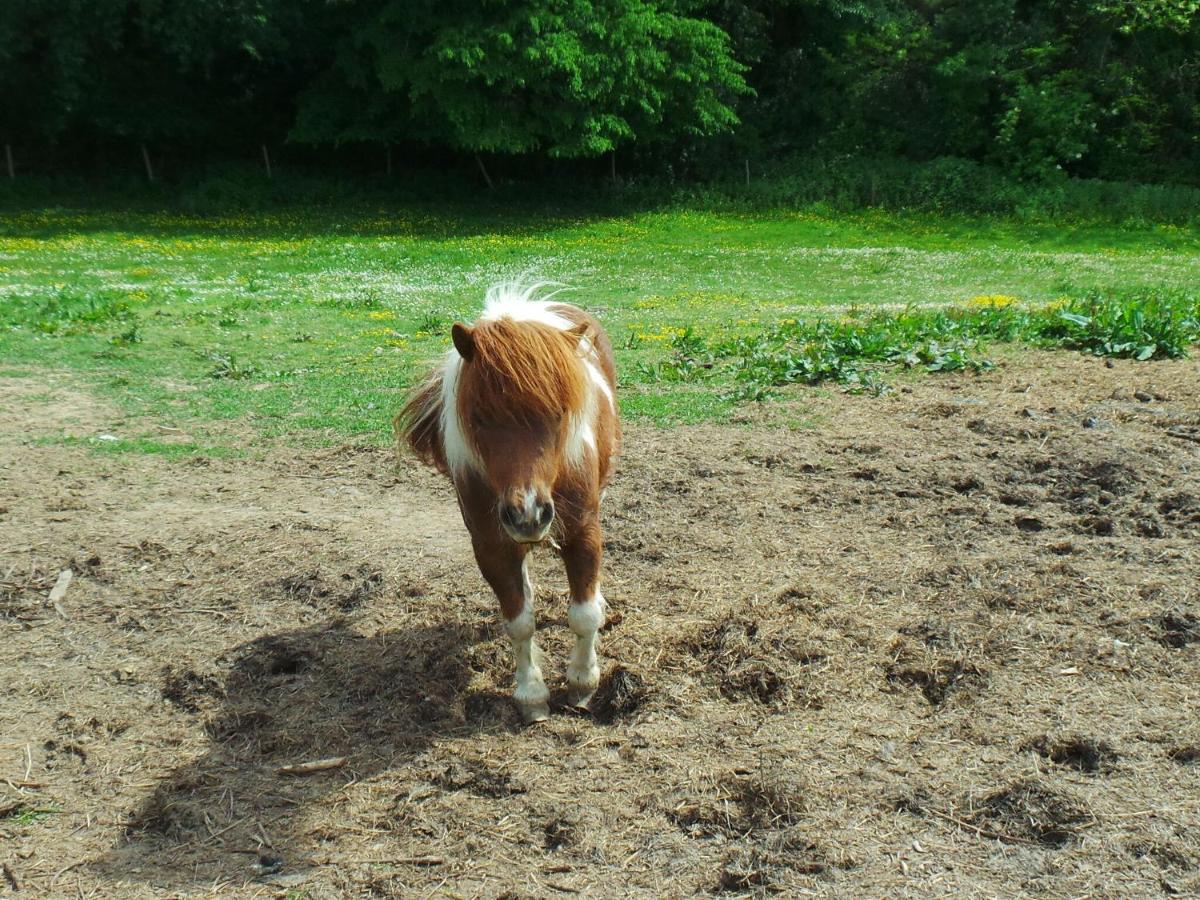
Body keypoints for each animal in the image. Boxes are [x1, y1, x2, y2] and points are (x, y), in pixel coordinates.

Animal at [398, 285, 619, 724]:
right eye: (479, 417)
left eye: (559, 413)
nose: (528, 514)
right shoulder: (490, 545)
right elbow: (519, 621)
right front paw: (531, 696)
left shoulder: (583, 530)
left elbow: (583, 614)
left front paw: (583, 684)